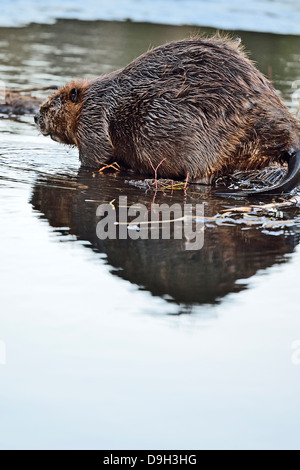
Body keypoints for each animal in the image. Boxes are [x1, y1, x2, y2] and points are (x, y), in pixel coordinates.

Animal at [34, 36, 300, 195]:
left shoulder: (92, 121)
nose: (36, 117)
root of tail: (292, 142)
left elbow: (95, 156)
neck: (95, 97)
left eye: (52, 103)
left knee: (203, 175)